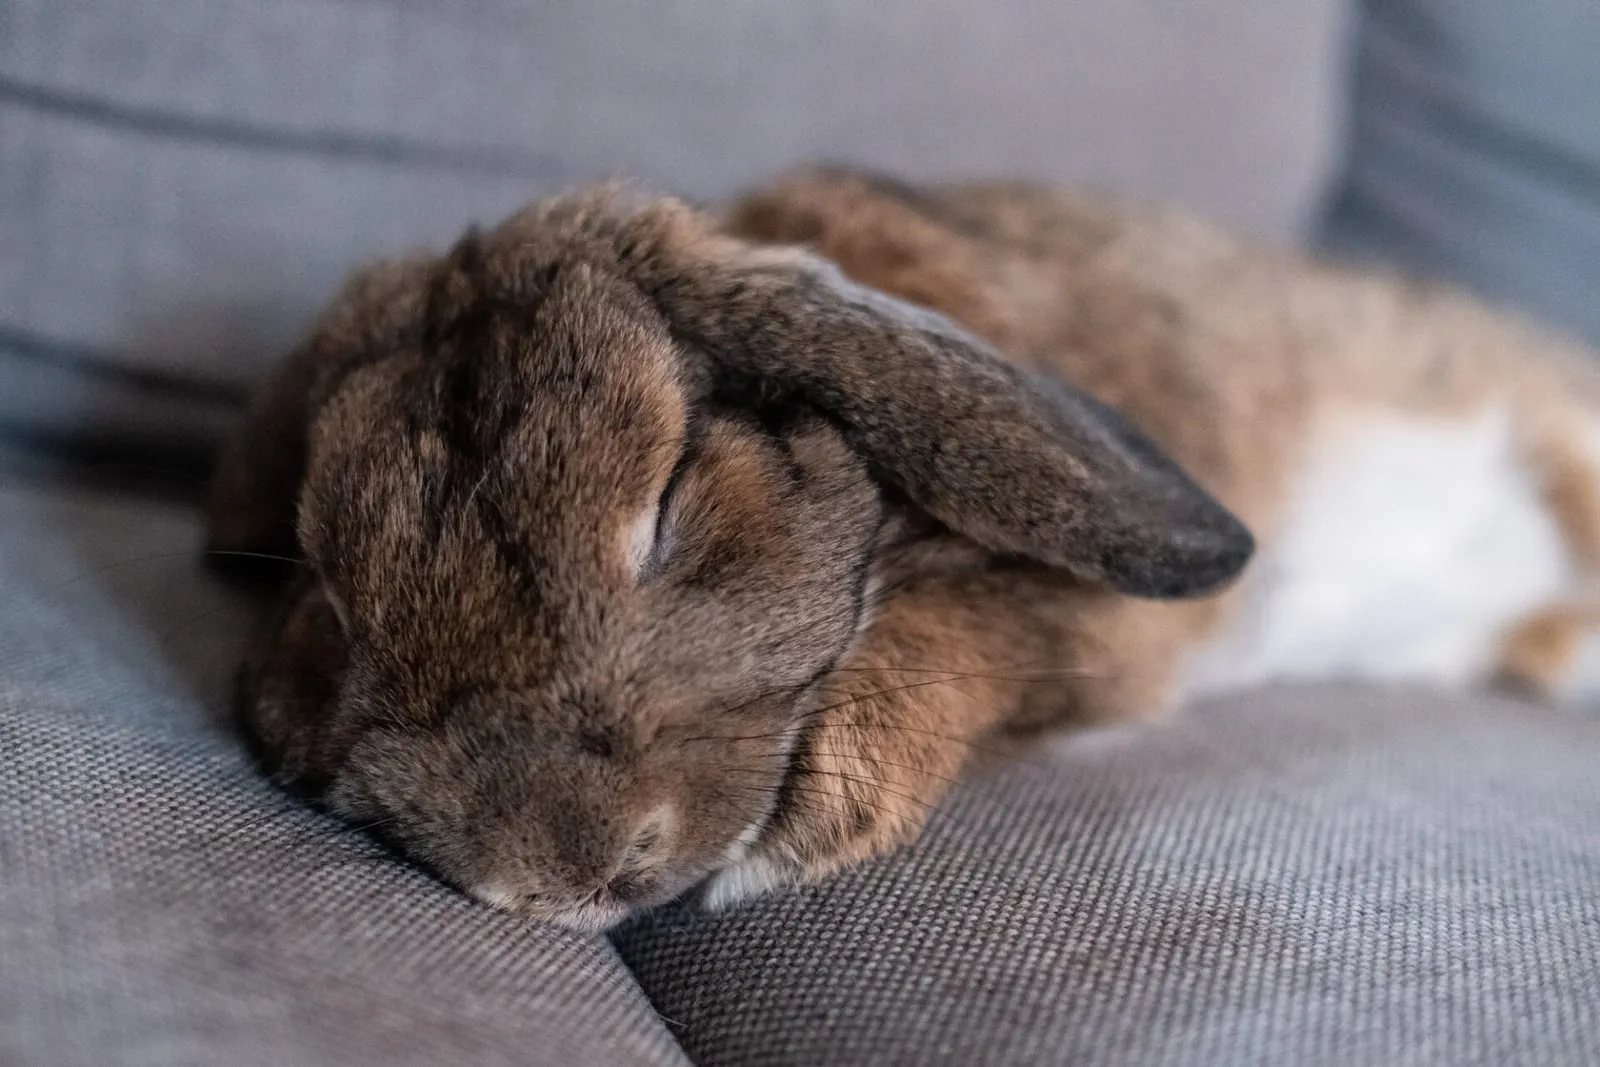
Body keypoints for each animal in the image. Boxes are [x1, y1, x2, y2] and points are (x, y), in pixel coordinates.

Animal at [206, 165, 1600, 932]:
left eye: (668, 496)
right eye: (328, 597)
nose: (555, 870)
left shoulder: (1105, 619)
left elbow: (977, 632)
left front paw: (803, 829)